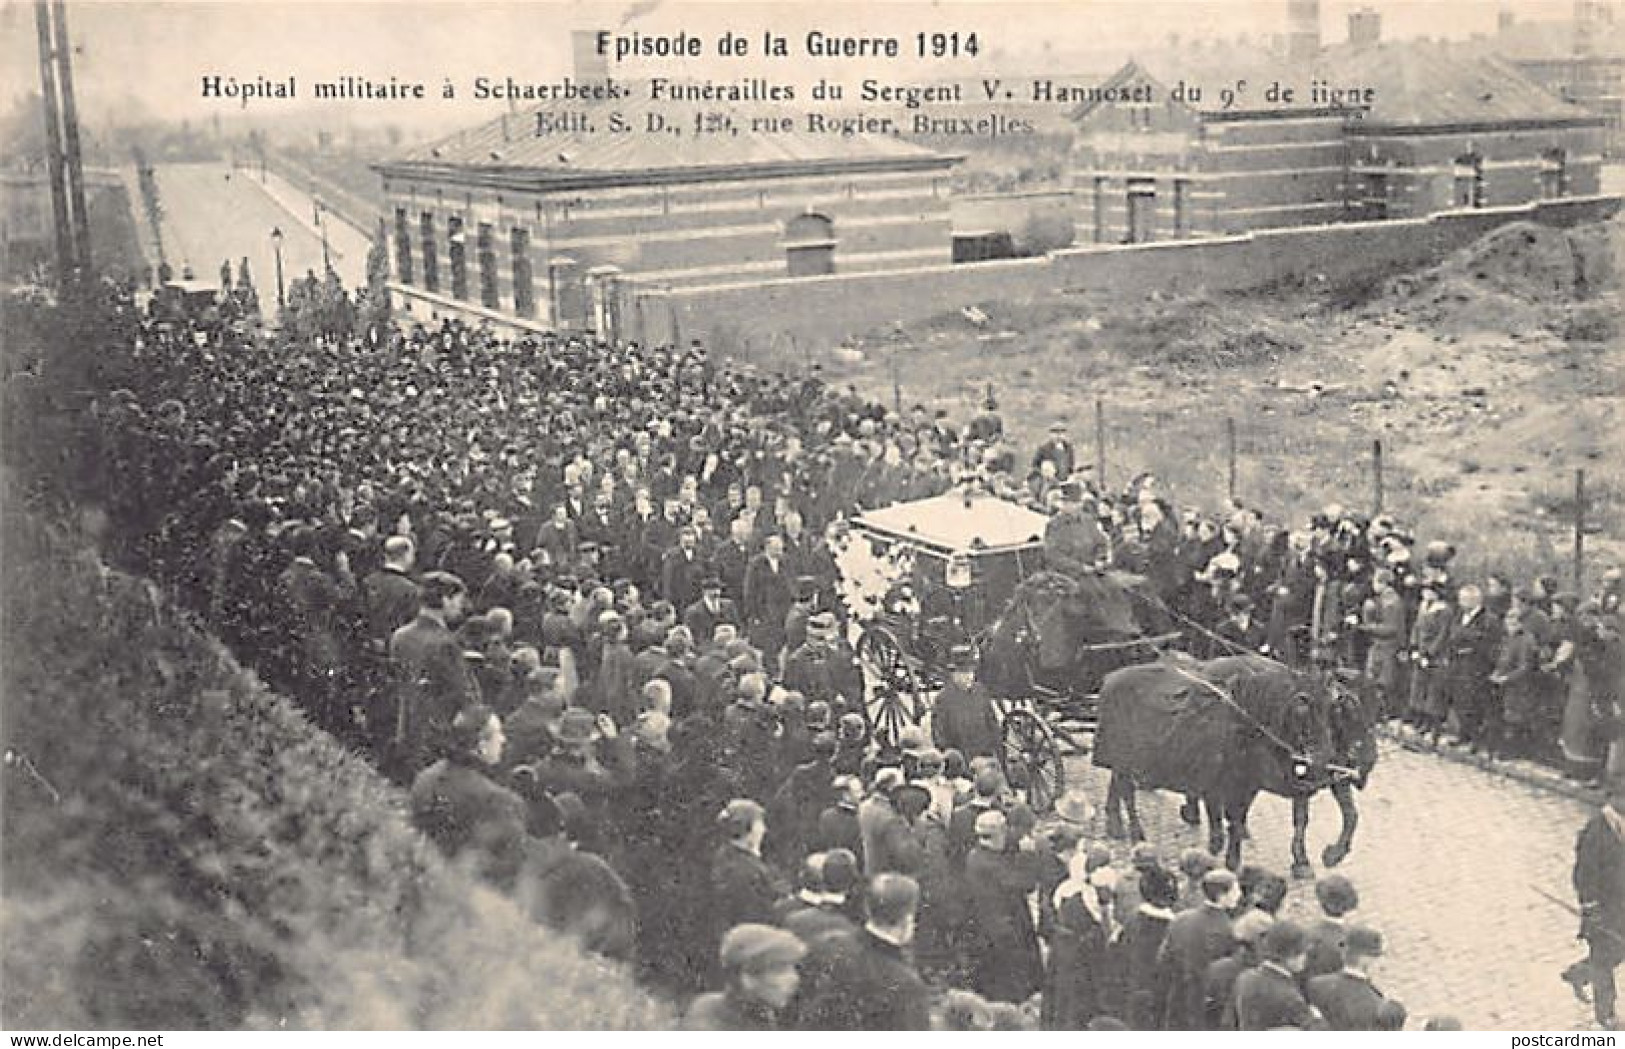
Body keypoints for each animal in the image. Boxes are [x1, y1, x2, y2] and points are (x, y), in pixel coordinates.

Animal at [1098, 656, 1378, 876]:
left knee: (1120, 784)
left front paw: (1319, 857)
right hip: (1124, 758)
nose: (1367, 762)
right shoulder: (1233, 780)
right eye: (1345, 708)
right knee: (1125, 788)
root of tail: (1111, 678)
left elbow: (1342, 816)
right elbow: (1233, 816)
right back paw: (1132, 831)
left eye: (1378, 709)